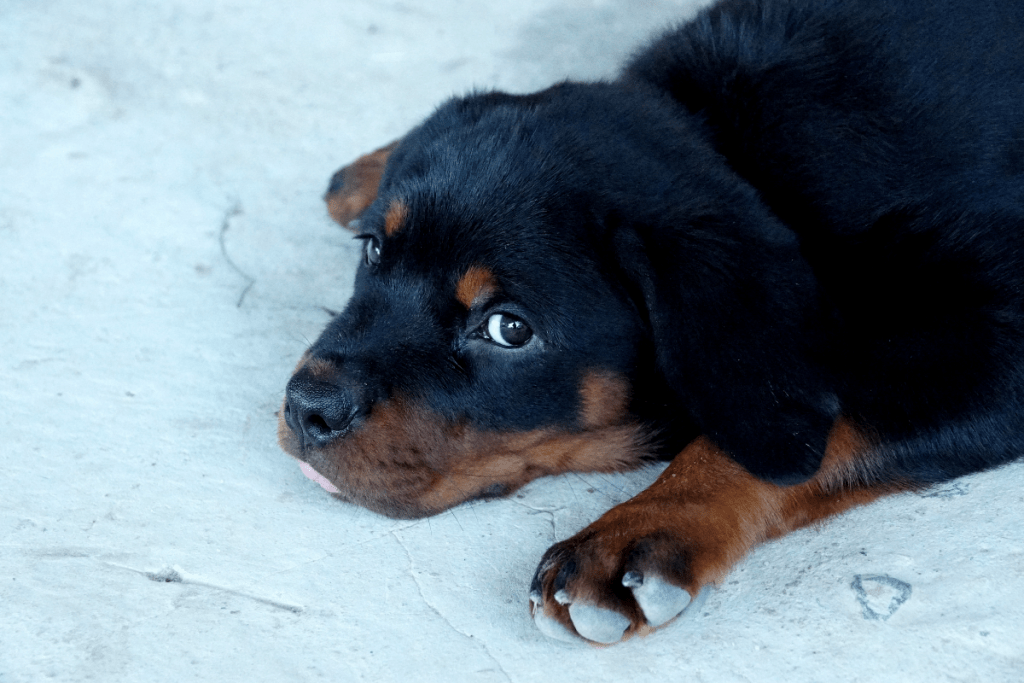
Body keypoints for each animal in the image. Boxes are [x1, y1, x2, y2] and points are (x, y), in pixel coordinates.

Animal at [278, 0, 1024, 643]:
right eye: (375, 252)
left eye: (509, 330)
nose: (308, 407)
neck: (738, 149)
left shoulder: (998, 340)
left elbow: (802, 424)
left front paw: (634, 534)